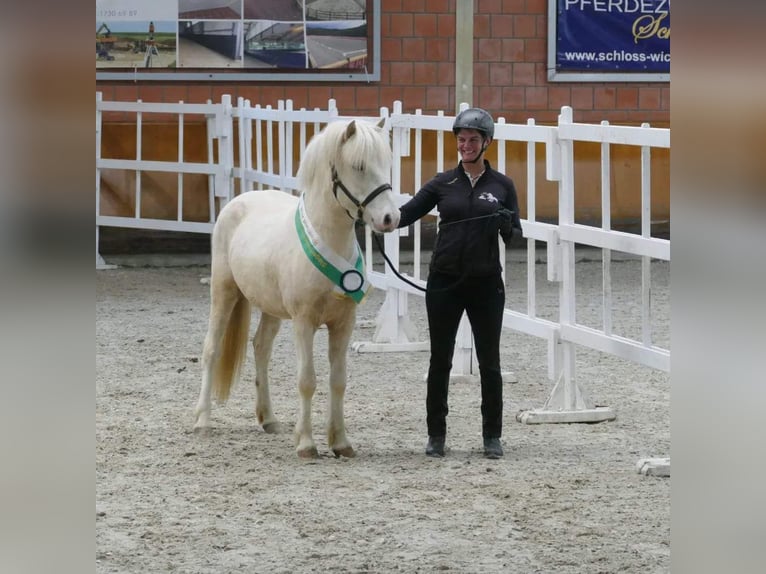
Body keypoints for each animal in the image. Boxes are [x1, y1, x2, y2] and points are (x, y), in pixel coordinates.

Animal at [193, 118, 400, 458]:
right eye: (358, 166)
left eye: (387, 164)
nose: (390, 218)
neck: (328, 241)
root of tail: (238, 201)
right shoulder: (304, 322)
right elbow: (307, 380)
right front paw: (305, 443)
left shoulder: (344, 324)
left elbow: (338, 380)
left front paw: (341, 442)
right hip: (224, 292)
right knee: (211, 349)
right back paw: (202, 422)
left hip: (270, 308)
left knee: (261, 348)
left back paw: (268, 419)